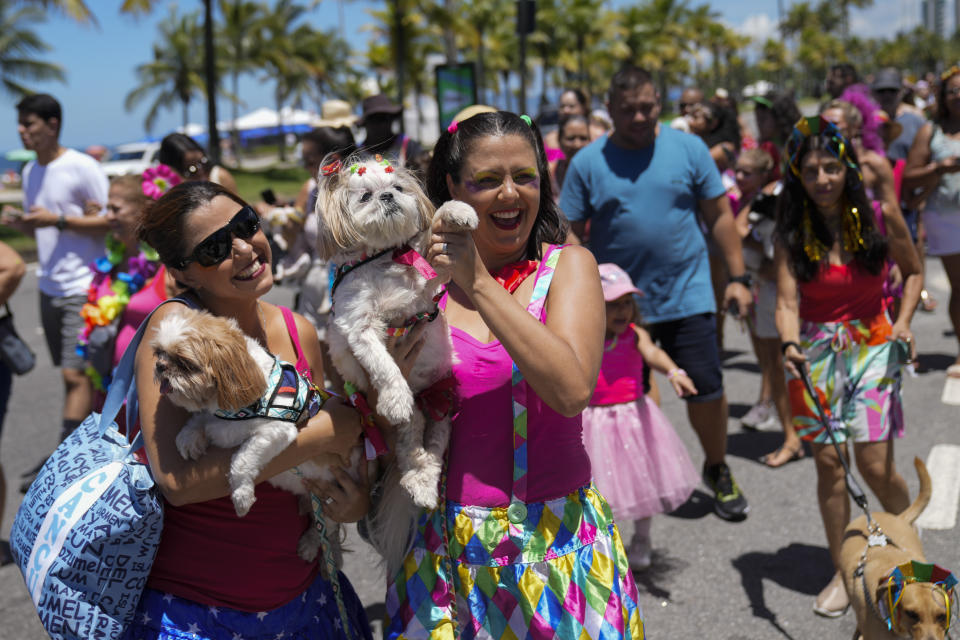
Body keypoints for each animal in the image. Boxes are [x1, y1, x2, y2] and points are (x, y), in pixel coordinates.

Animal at [146, 308, 348, 564]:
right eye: (159, 353)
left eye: (184, 362)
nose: (160, 366)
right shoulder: (216, 419)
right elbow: (200, 420)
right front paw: (189, 438)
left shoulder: (278, 430)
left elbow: (241, 460)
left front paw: (241, 496)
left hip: (331, 501)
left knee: (325, 527)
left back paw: (311, 544)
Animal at [316, 155, 478, 568]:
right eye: (365, 196)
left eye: (399, 188)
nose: (387, 196)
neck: (384, 260)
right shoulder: (361, 327)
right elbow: (384, 366)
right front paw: (395, 396)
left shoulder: (426, 287)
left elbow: (438, 229)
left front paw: (460, 212)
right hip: (408, 421)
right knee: (410, 446)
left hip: (441, 410)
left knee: (431, 452)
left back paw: (423, 484)